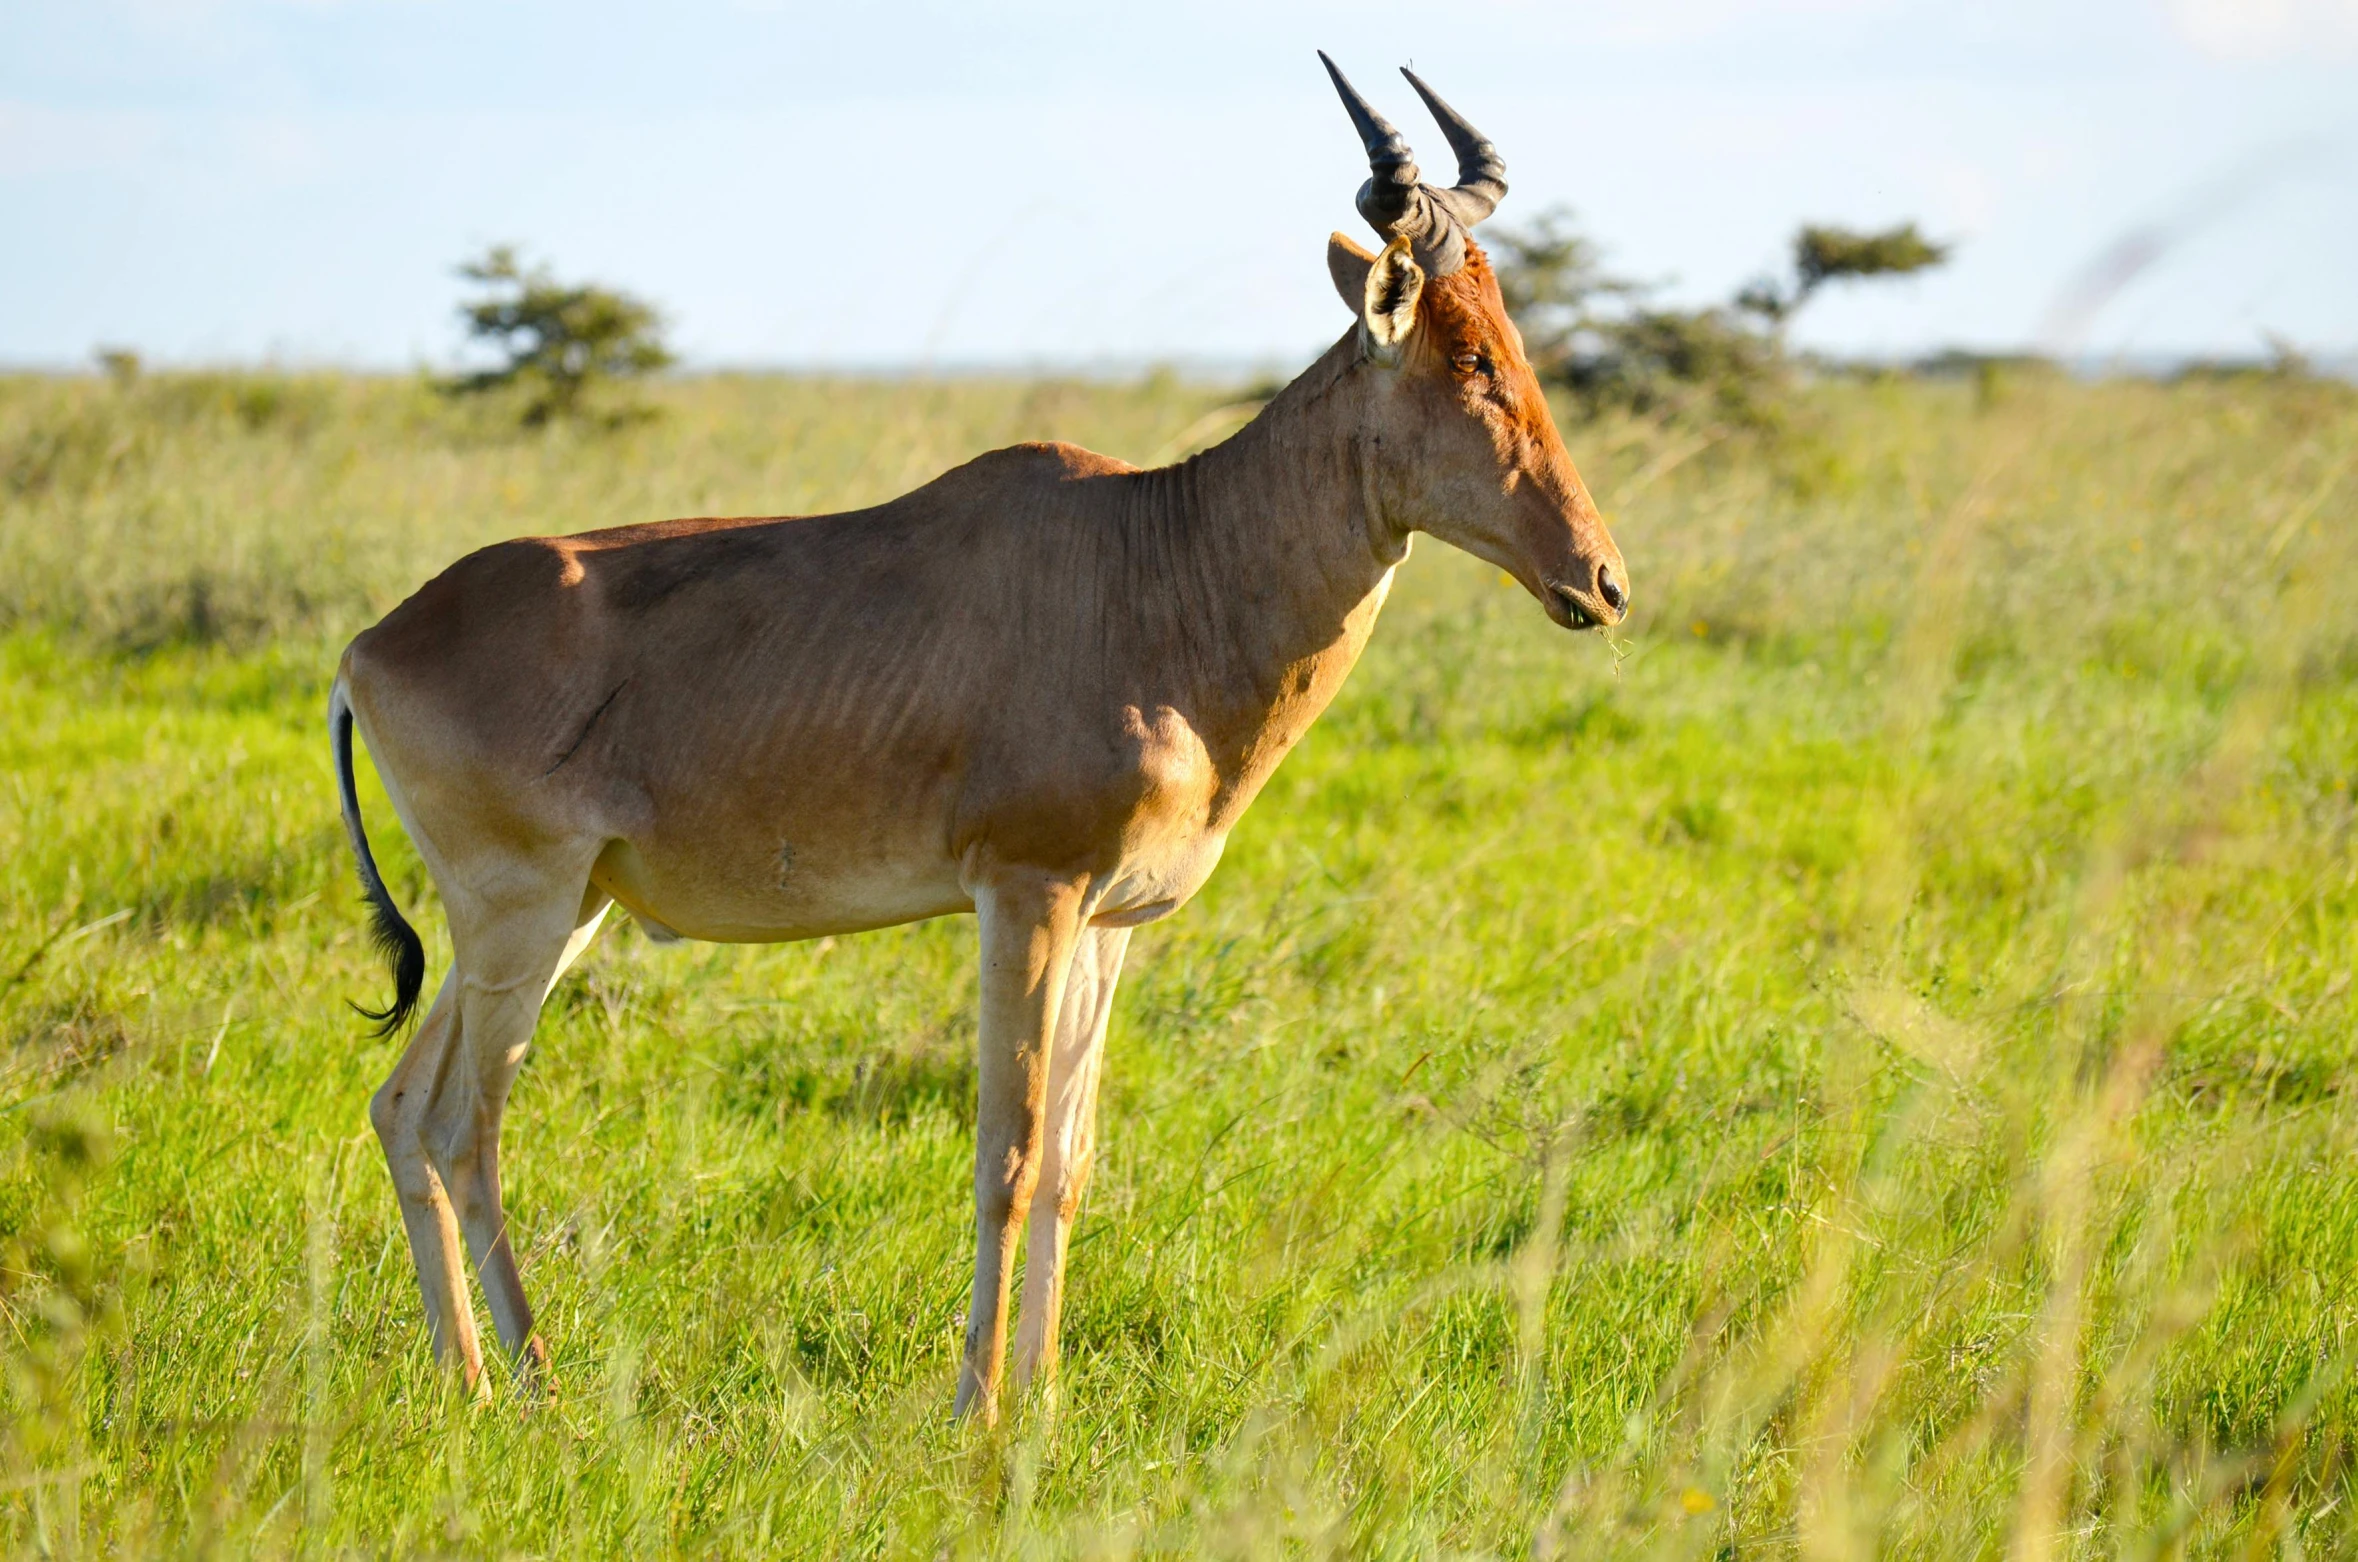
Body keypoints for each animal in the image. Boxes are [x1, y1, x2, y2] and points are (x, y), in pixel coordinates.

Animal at [327, 55, 1622, 1425]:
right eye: (1467, 353)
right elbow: (1003, 1150)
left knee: (402, 1106)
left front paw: (1043, 1397)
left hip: (558, 910)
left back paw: (468, 1380)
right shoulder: (1025, 892)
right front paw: (977, 1409)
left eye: (1516, 344)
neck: (1154, 558)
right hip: (519, 913)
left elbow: (1069, 1160)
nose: (1601, 580)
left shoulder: (1108, 923)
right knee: (465, 1122)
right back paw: (535, 1386)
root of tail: (372, 642)